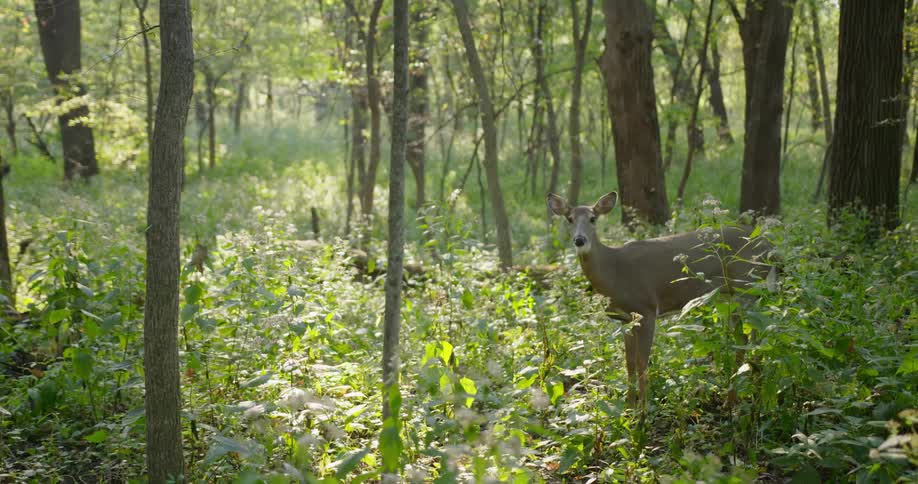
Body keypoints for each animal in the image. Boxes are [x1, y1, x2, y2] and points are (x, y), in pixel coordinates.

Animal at [547, 191, 774, 406]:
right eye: (569, 218)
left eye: (593, 218)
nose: (579, 240)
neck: (614, 272)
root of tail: (769, 247)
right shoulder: (625, 319)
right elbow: (628, 364)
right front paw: (629, 407)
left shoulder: (647, 309)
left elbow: (642, 364)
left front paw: (643, 411)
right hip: (730, 296)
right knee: (751, 336)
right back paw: (748, 391)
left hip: (746, 288)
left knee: (748, 337)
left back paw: (740, 397)